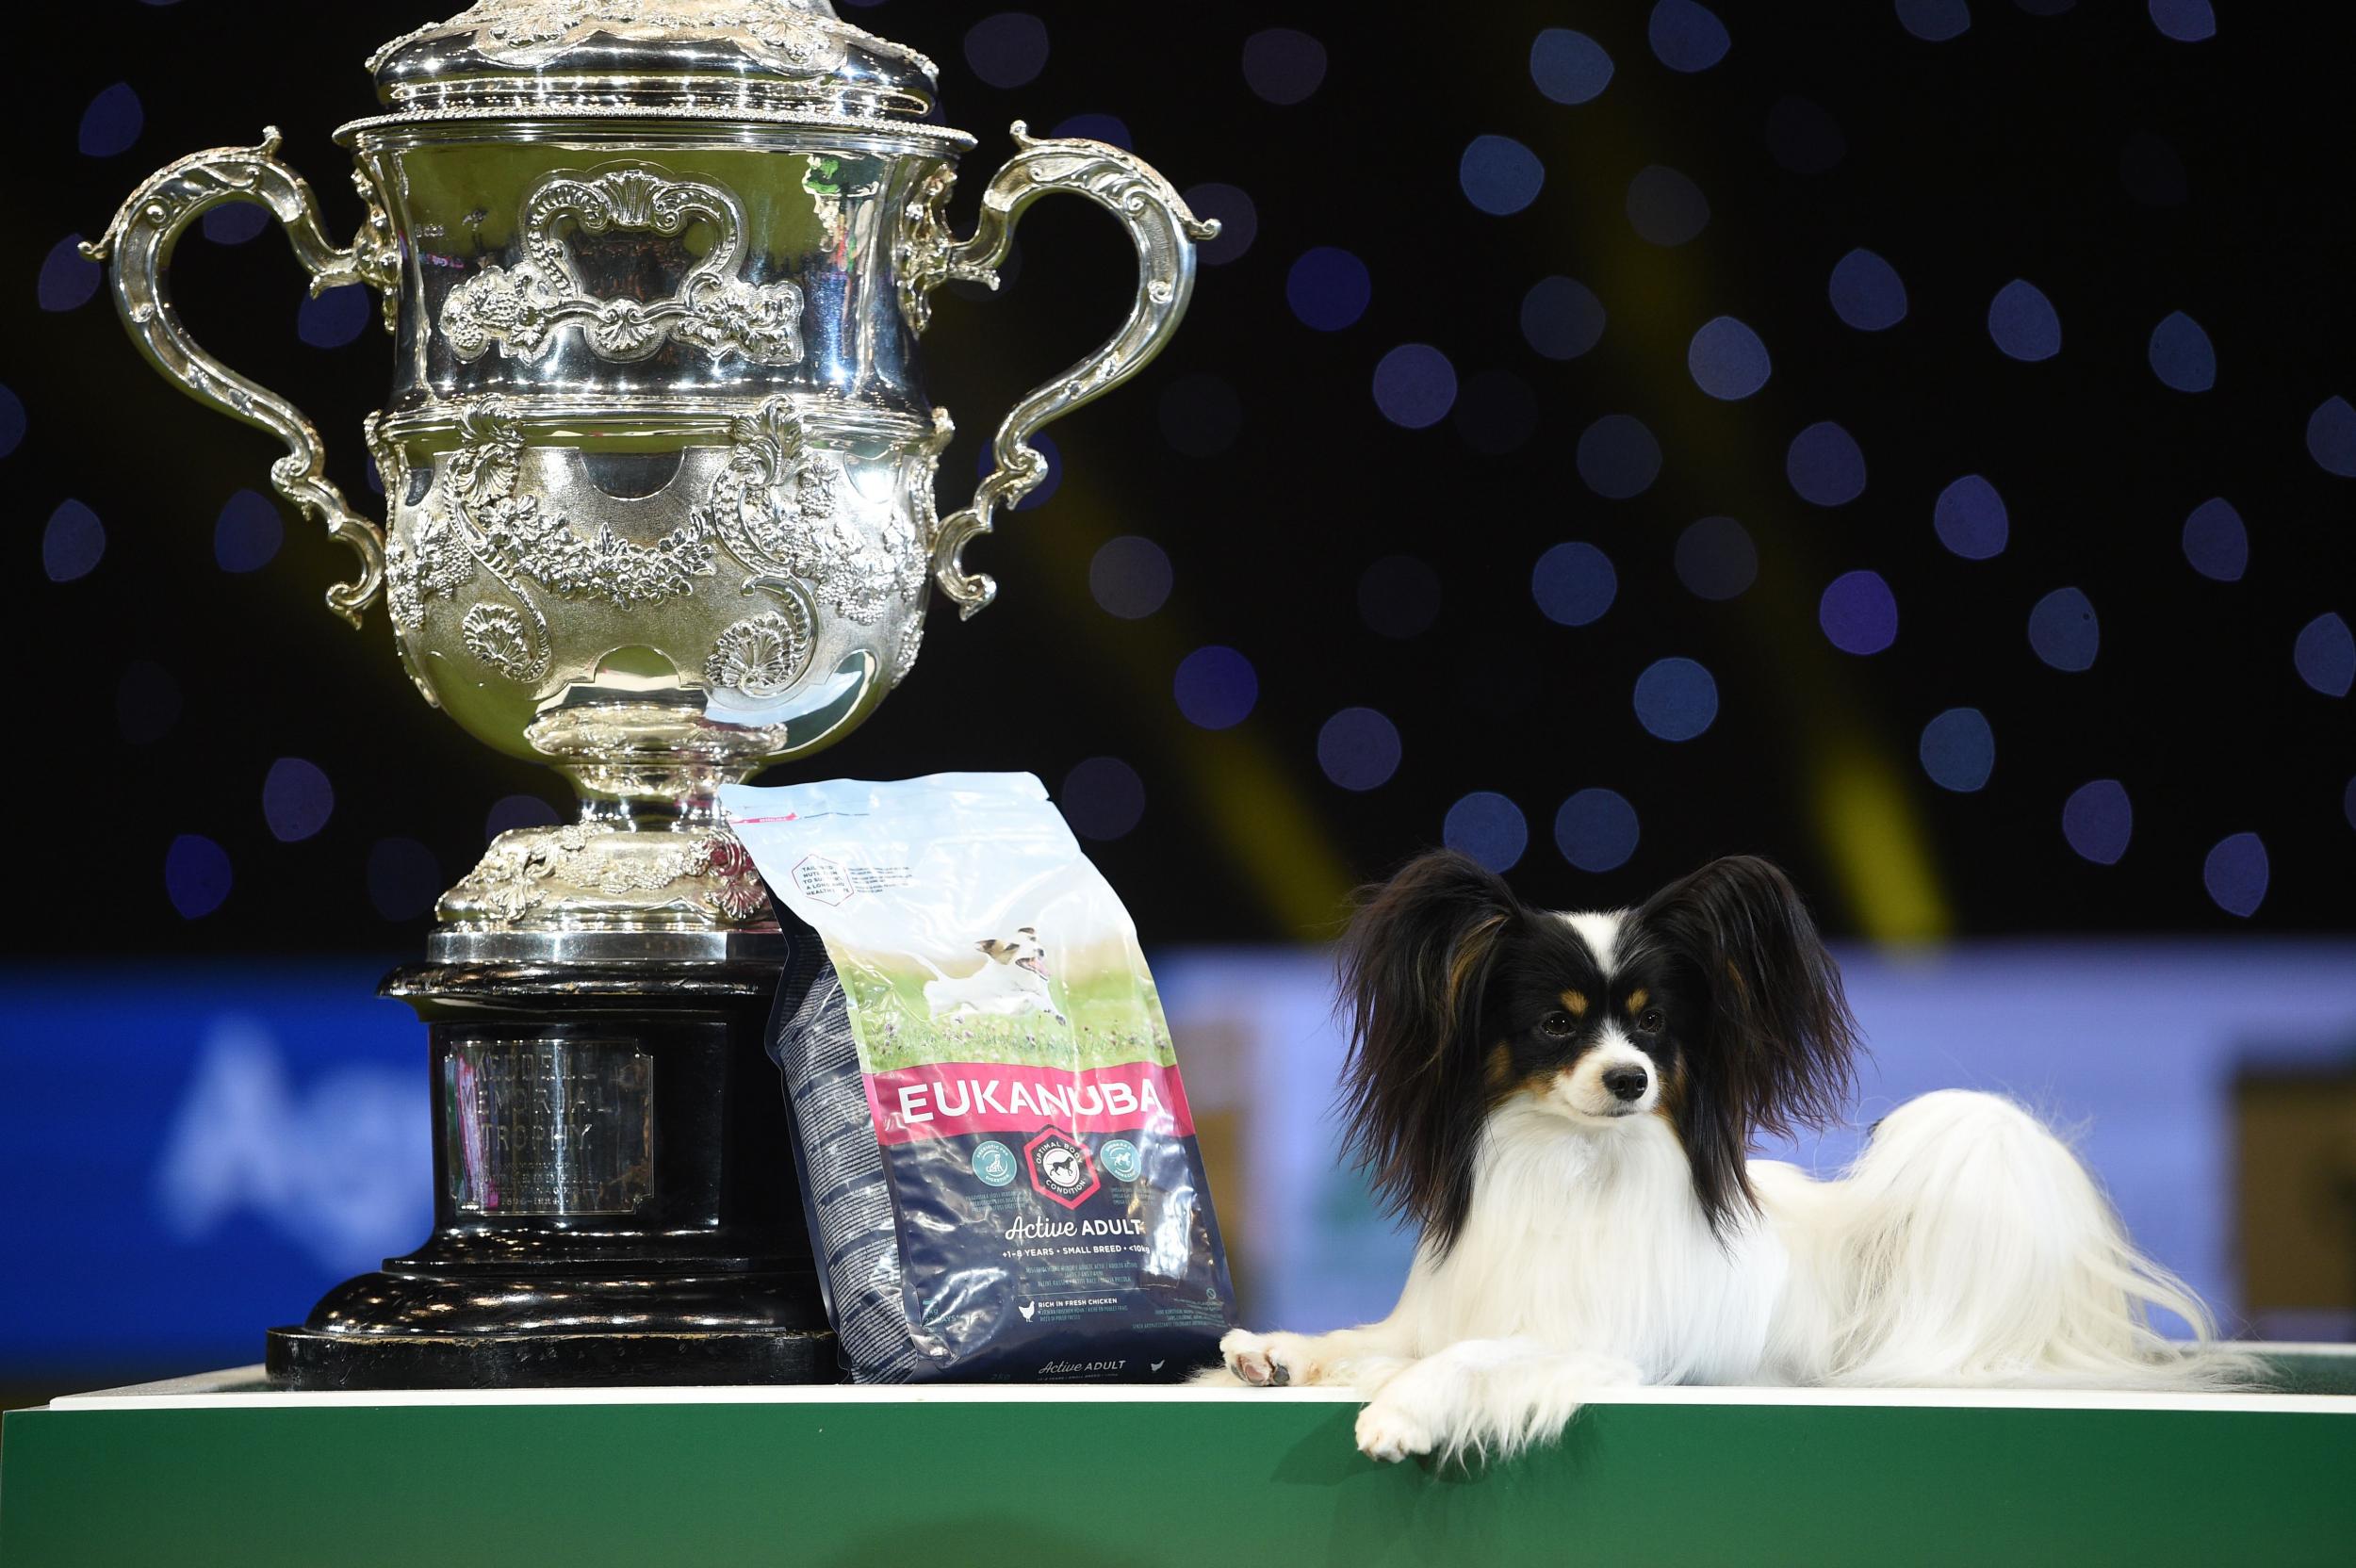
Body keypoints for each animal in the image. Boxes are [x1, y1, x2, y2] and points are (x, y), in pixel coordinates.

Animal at [1225, 847, 2233, 1460]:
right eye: (1556, 1024)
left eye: (1652, 1025)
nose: (1629, 1079)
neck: (1567, 1162)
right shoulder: (1447, 1307)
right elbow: (1368, 1339)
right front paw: (1275, 1352)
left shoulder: (1595, 1343)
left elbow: (1473, 1358)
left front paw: (1402, 1408)